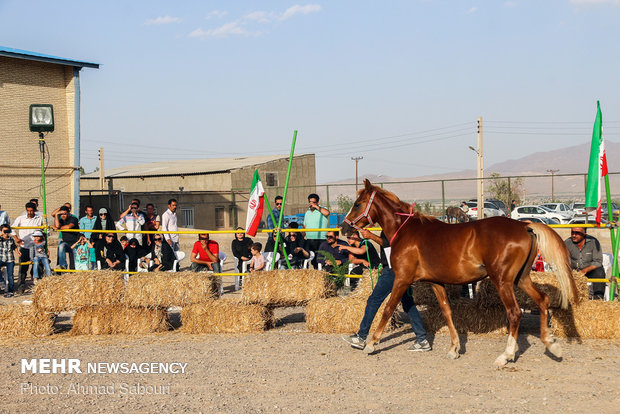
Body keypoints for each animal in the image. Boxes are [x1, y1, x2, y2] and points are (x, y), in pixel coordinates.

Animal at [342, 180, 580, 368]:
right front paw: (454, 348)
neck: (405, 231)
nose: (345, 228)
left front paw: (370, 343)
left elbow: (387, 308)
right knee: (543, 300)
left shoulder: (402, 279)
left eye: (358, 203)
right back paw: (551, 344)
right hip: (521, 278)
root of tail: (524, 226)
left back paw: (506, 356)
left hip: (502, 280)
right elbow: (447, 312)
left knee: (514, 313)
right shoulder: (436, 283)